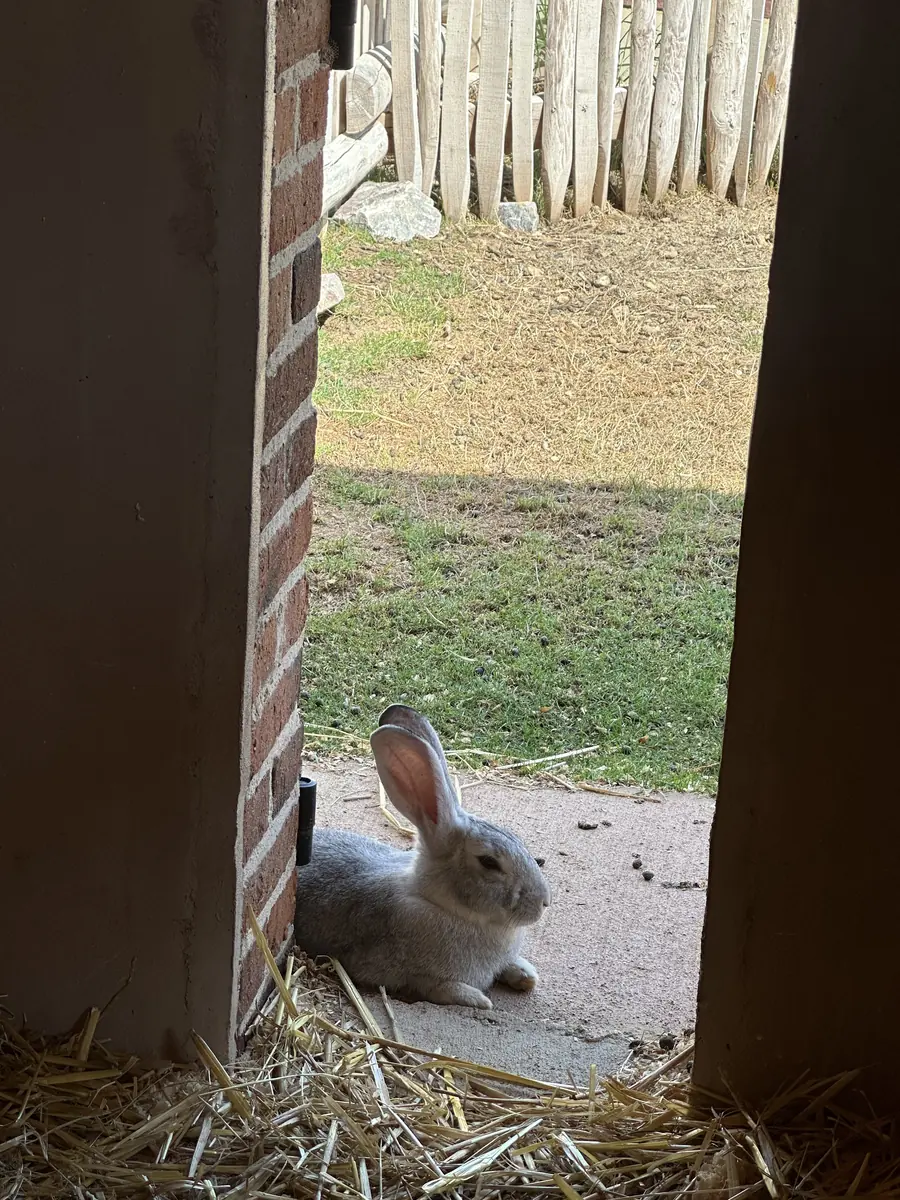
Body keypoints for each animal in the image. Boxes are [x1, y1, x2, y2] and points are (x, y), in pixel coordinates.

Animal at [294, 704, 551, 1009]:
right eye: (489, 862)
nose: (544, 902)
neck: (442, 904)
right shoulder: (395, 971)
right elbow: (435, 987)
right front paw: (478, 1000)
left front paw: (526, 976)